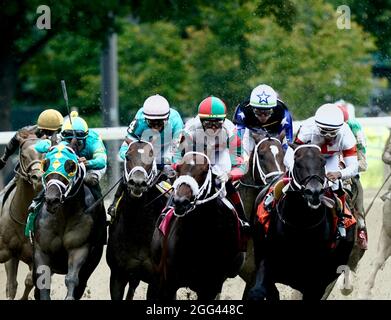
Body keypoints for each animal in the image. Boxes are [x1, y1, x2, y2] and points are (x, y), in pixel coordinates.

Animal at [0, 131, 43, 300]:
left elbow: (30, 280)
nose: (38, 178)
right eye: (24, 155)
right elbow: (11, 286)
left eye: (46, 152)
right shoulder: (10, 253)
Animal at [250, 145, 356, 300]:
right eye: (298, 163)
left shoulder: (316, 281)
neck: (300, 225)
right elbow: (258, 290)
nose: (314, 192)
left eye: (323, 163)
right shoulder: (265, 258)